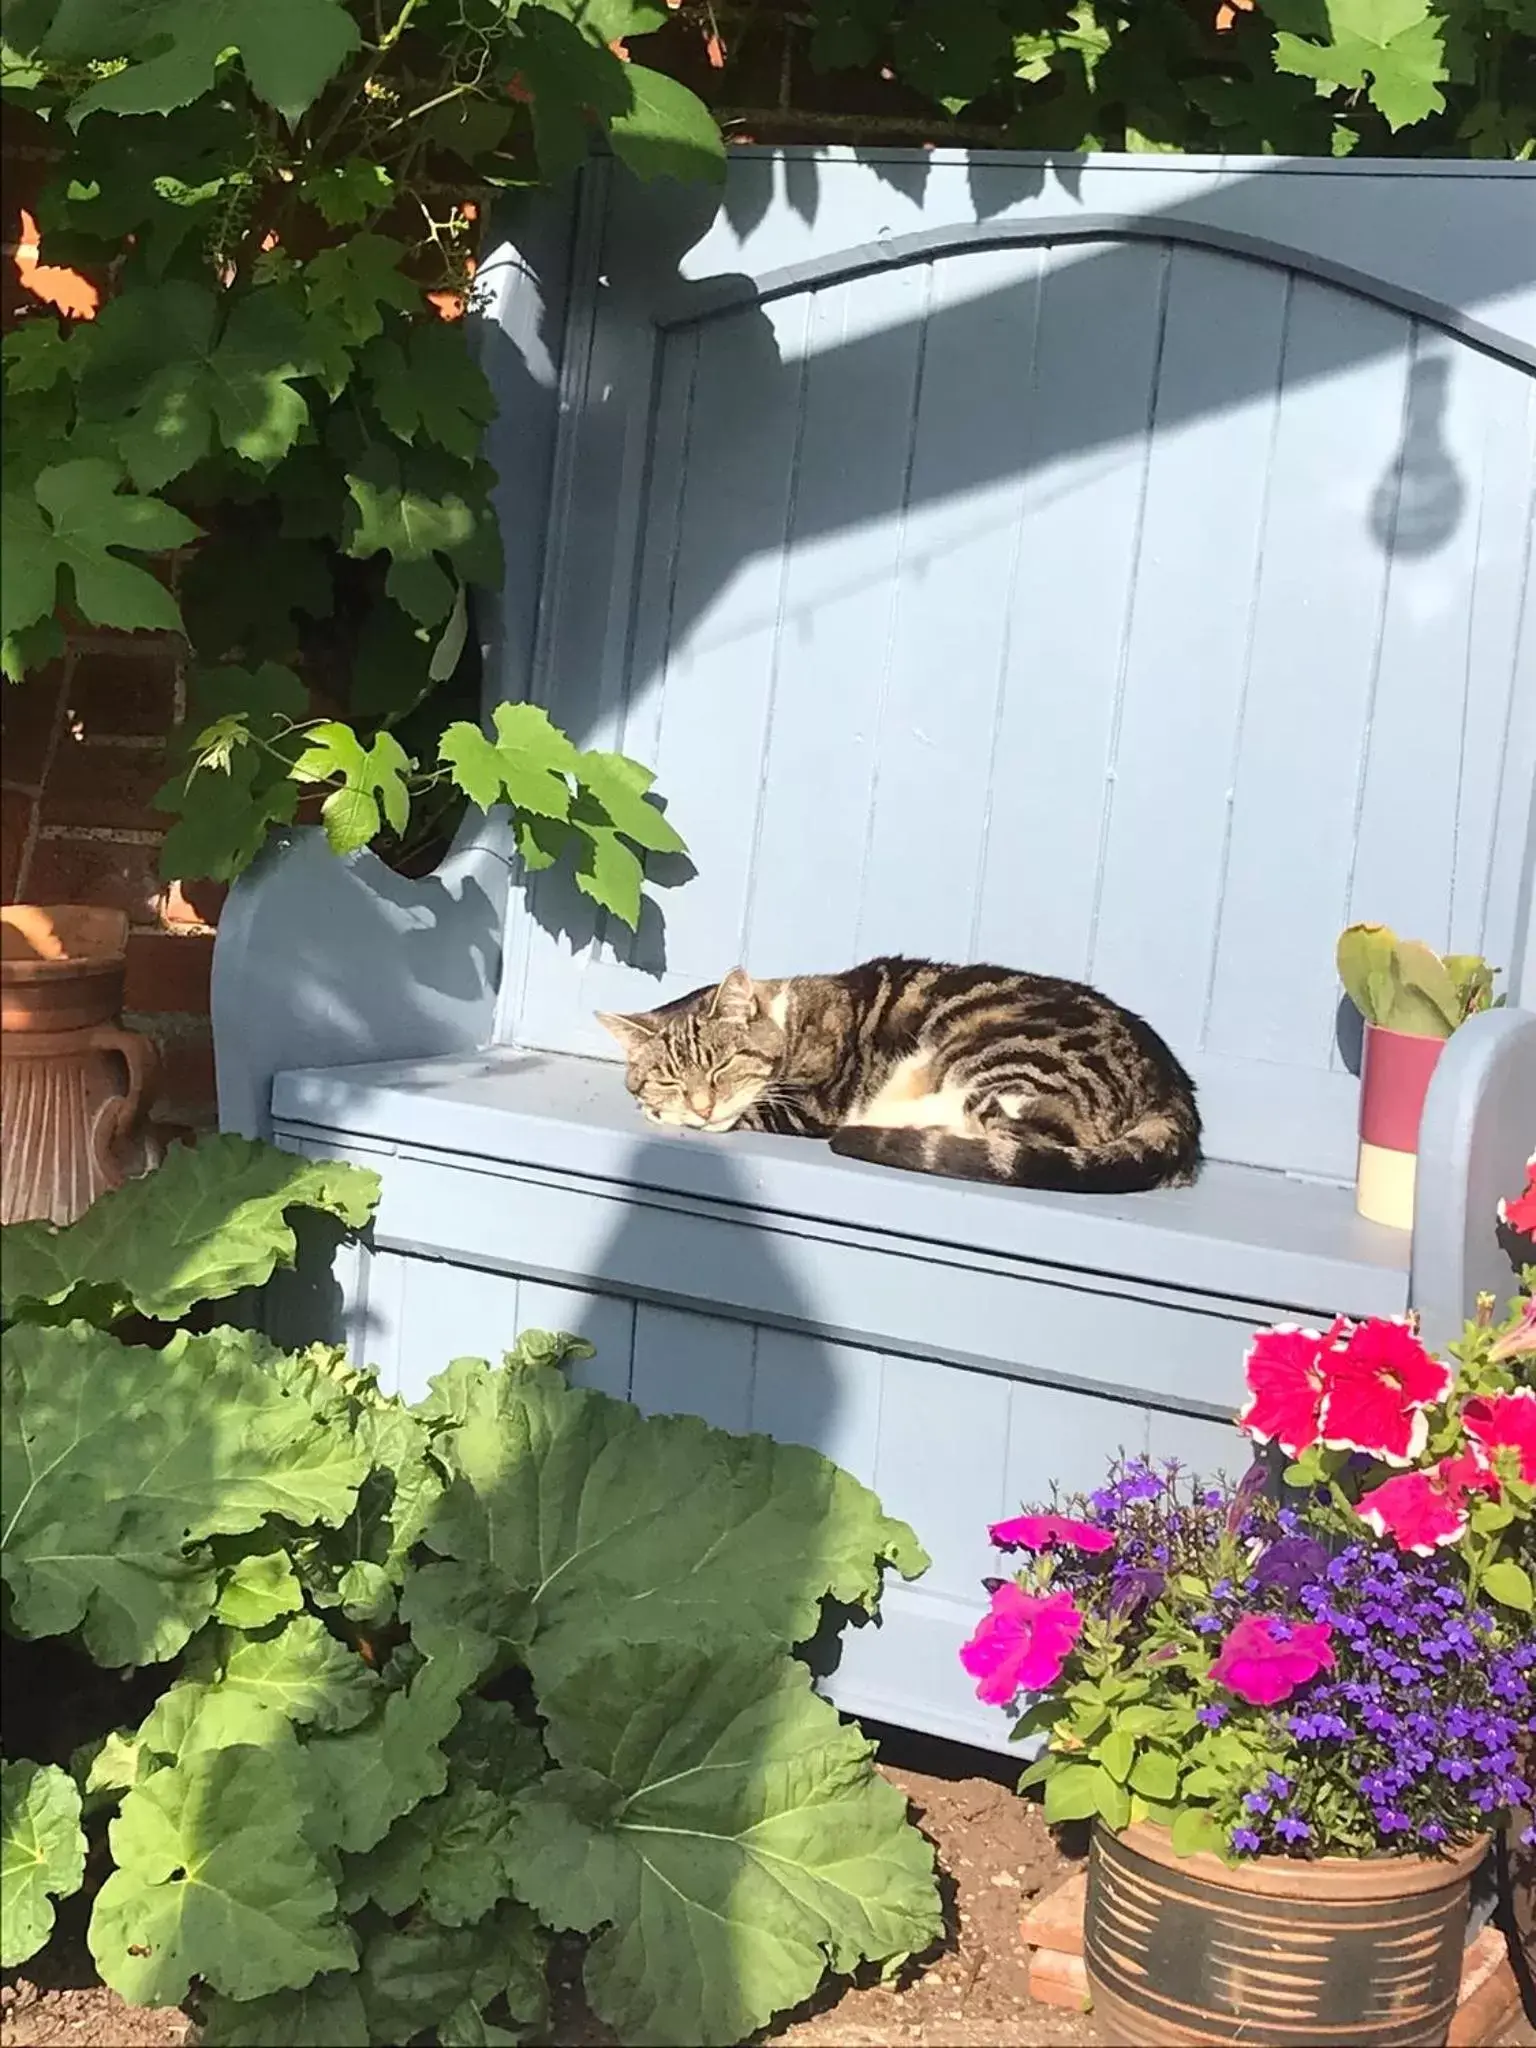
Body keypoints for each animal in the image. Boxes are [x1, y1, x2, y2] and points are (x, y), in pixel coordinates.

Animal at [602, 954, 1204, 1196]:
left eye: (723, 1066)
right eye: (669, 1078)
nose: (700, 1105)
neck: (788, 1016)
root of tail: (1175, 1089)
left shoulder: (812, 1104)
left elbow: (757, 1110)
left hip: (1001, 1059)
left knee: (1022, 1135)